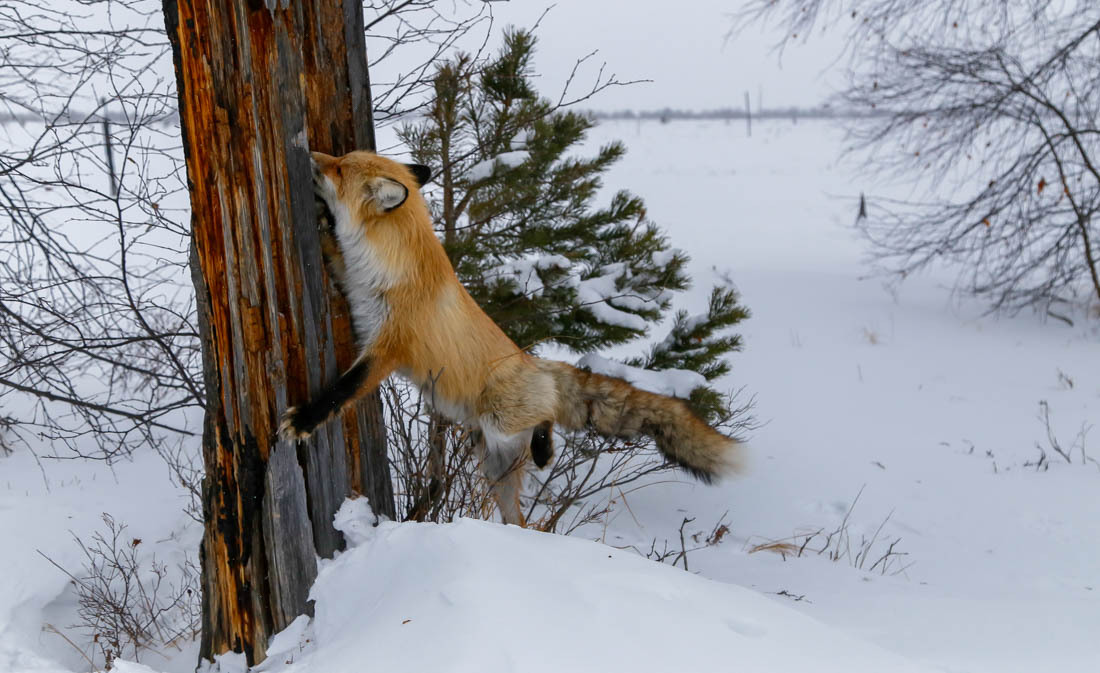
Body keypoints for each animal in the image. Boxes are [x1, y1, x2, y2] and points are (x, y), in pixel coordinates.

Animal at [279, 149, 743, 523]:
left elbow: (342, 390)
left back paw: (545, 447)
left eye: (339, 167)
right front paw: (321, 227)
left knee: (547, 415)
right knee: (517, 515)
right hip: (495, 467)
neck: (392, 266)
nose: (311, 152)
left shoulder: (389, 346)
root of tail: (535, 361)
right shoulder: (354, 284)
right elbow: (334, 253)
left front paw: (303, 421)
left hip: (498, 420)